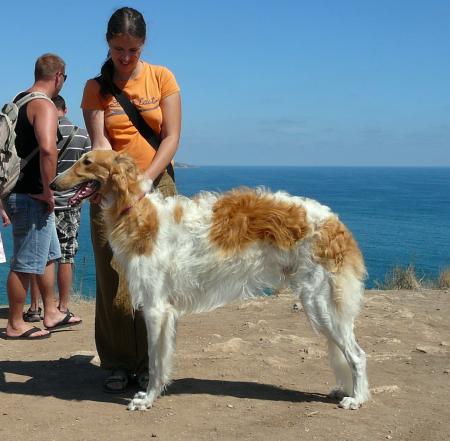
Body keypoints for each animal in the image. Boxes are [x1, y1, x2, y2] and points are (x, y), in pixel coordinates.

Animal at [51, 150, 370, 410]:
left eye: (87, 162)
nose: (53, 183)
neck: (140, 213)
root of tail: (335, 223)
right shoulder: (165, 311)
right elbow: (163, 360)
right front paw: (156, 393)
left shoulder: (155, 308)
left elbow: (154, 359)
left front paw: (146, 398)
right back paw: (347, 391)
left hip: (320, 304)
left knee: (357, 355)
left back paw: (356, 398)